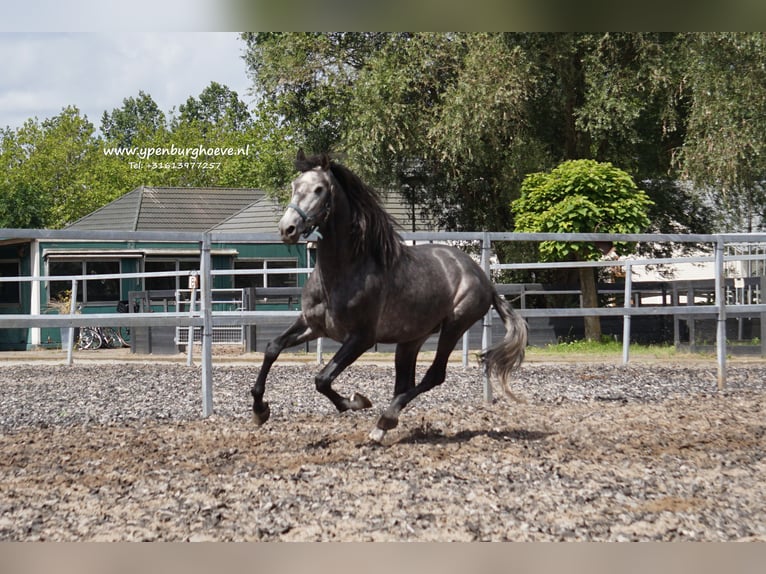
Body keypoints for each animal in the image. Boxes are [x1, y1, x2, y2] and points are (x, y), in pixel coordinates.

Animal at [252, 151, 528, 444]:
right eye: (294, 186)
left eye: (319, 189)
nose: (288, 229)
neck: (345, 270)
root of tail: (484, 278)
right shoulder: (313, 325)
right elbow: (272, 348)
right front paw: (260, 411)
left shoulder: (361, 338)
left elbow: (323, 379)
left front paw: (357, 401)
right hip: (411, 338)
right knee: (405, 382)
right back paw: (382, 427)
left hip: (454, 326)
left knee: (434, 375)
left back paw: (384, 420)